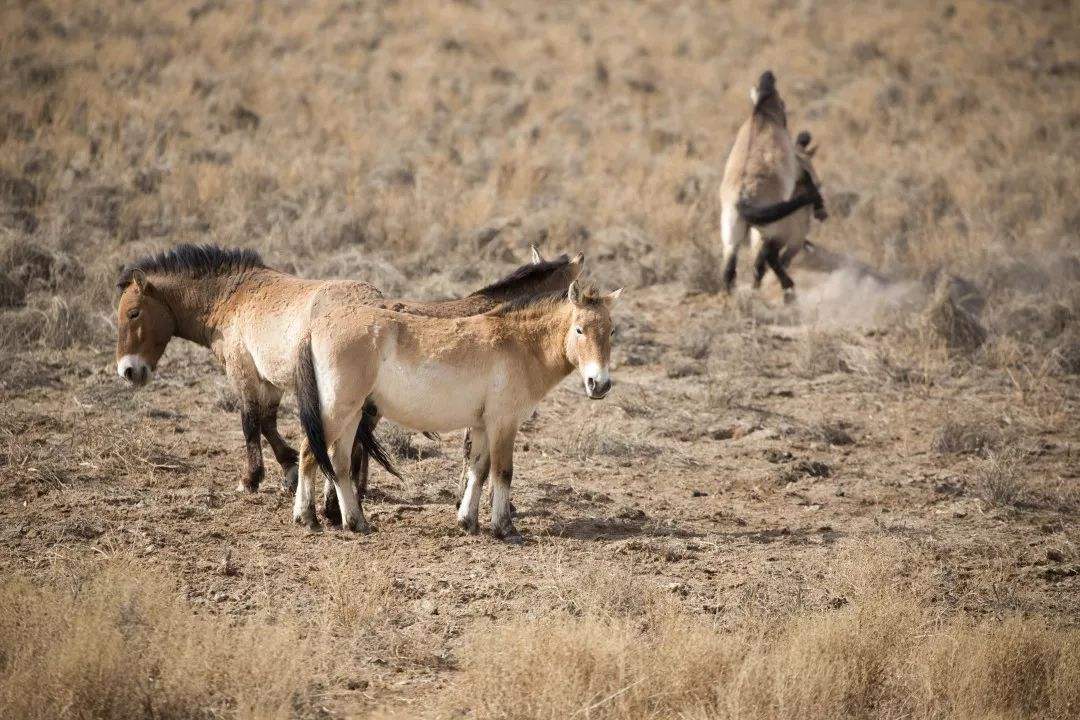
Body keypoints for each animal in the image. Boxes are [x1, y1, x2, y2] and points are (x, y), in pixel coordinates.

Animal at [293, 280, 626, 539]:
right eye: (579, 330)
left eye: (611, 331)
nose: (599, 384)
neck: (520, 344)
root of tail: (317, 326)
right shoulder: (503, 424)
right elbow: (502, 472)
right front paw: (504, 528)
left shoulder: (481, 427)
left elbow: (478, 470)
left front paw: (468, 521)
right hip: (337, 412)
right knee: (309, 452)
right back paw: (306, 518)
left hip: (352, 415)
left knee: (339, 463)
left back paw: (357, 522)